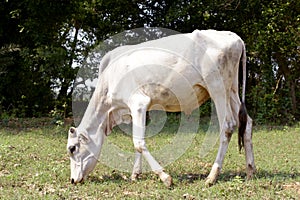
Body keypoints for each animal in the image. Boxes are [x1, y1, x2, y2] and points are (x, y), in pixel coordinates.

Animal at [67, 29, 254, 186]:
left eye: (72, 148)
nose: (73, 180)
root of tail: (234, 37)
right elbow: (136, 143)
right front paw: (135, 174)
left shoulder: (138, 103)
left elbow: (138, 143)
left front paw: (165, 177)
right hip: (232, 90)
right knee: (247, 123)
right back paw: (250, 170)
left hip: (217, 89)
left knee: (228, 126)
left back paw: (212, 176)